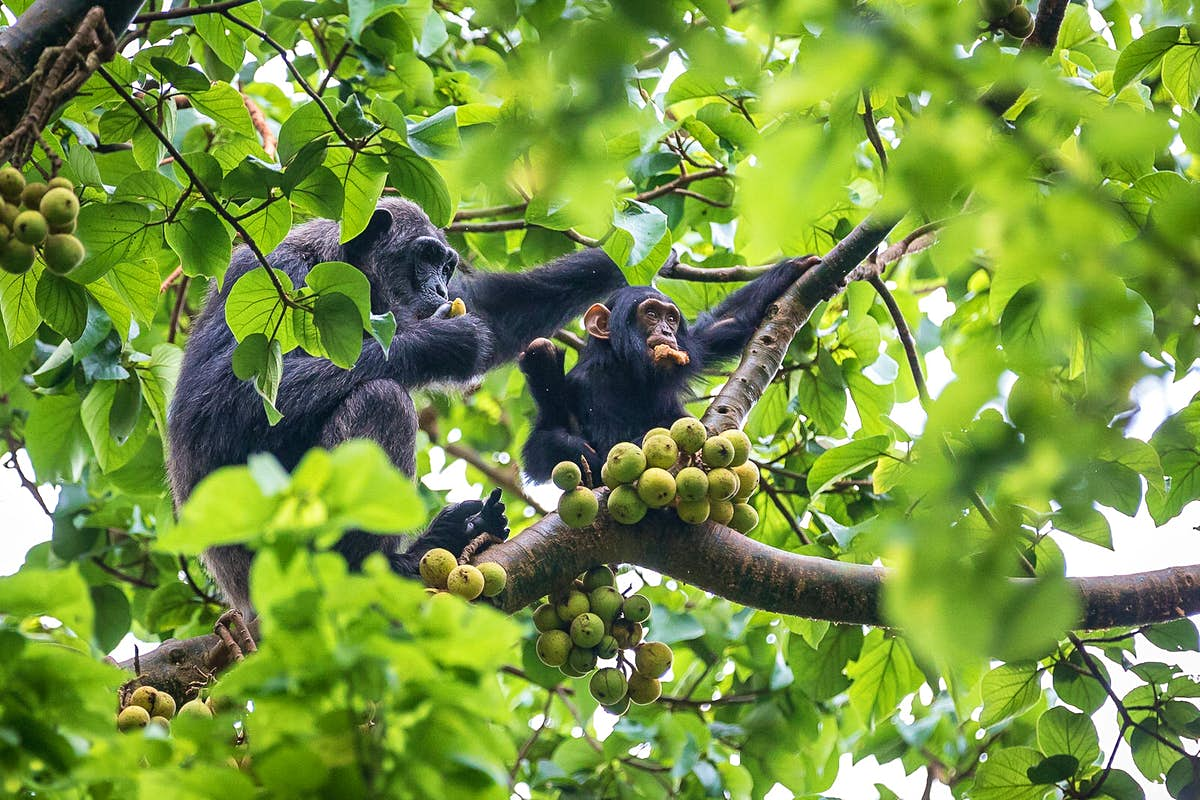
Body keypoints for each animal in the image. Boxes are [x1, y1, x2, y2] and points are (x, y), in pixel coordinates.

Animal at [175, 196, 638, 618]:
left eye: (447, 267)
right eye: (426, 257)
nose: (440, 288)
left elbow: (494, 311)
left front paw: (615, 262)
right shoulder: (270, 274)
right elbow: (219, 404)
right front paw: (441, 341)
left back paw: (454, 533)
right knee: (382, 400)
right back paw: (378, 565)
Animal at [520, 256, 820, 482]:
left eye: (672, 318)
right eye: (651, 314)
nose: (666, 331)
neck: (628, 370)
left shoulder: (693, 346)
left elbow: (728, 322)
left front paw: (793, 267)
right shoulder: (582, 385)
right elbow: (548, 448)